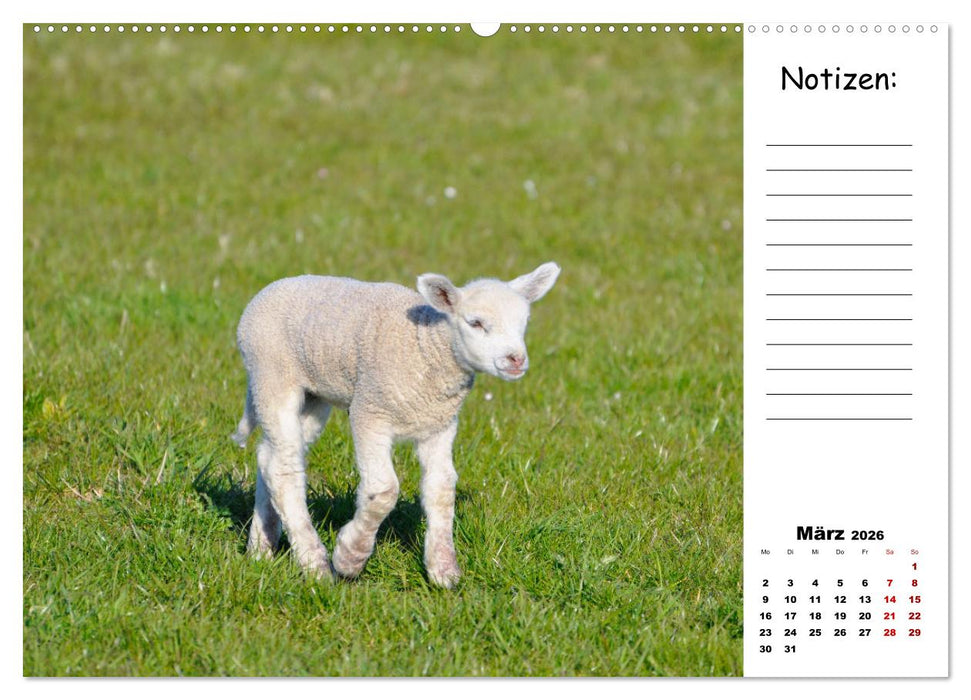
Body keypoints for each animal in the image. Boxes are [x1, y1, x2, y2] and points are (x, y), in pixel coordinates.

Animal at [231, 262, 561, 588]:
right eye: (476, 323)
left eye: (524, 323)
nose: (516, 360)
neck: (426, 346)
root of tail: (268, 290)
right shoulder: (369, 411)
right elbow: (383, 490)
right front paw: (350, 557)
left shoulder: (439, 423)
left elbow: (441, 488)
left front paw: (443, 569)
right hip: (272, 375)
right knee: (283, 469)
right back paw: (316, 565)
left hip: (314, 396)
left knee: (270, 456)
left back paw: (261, 548)